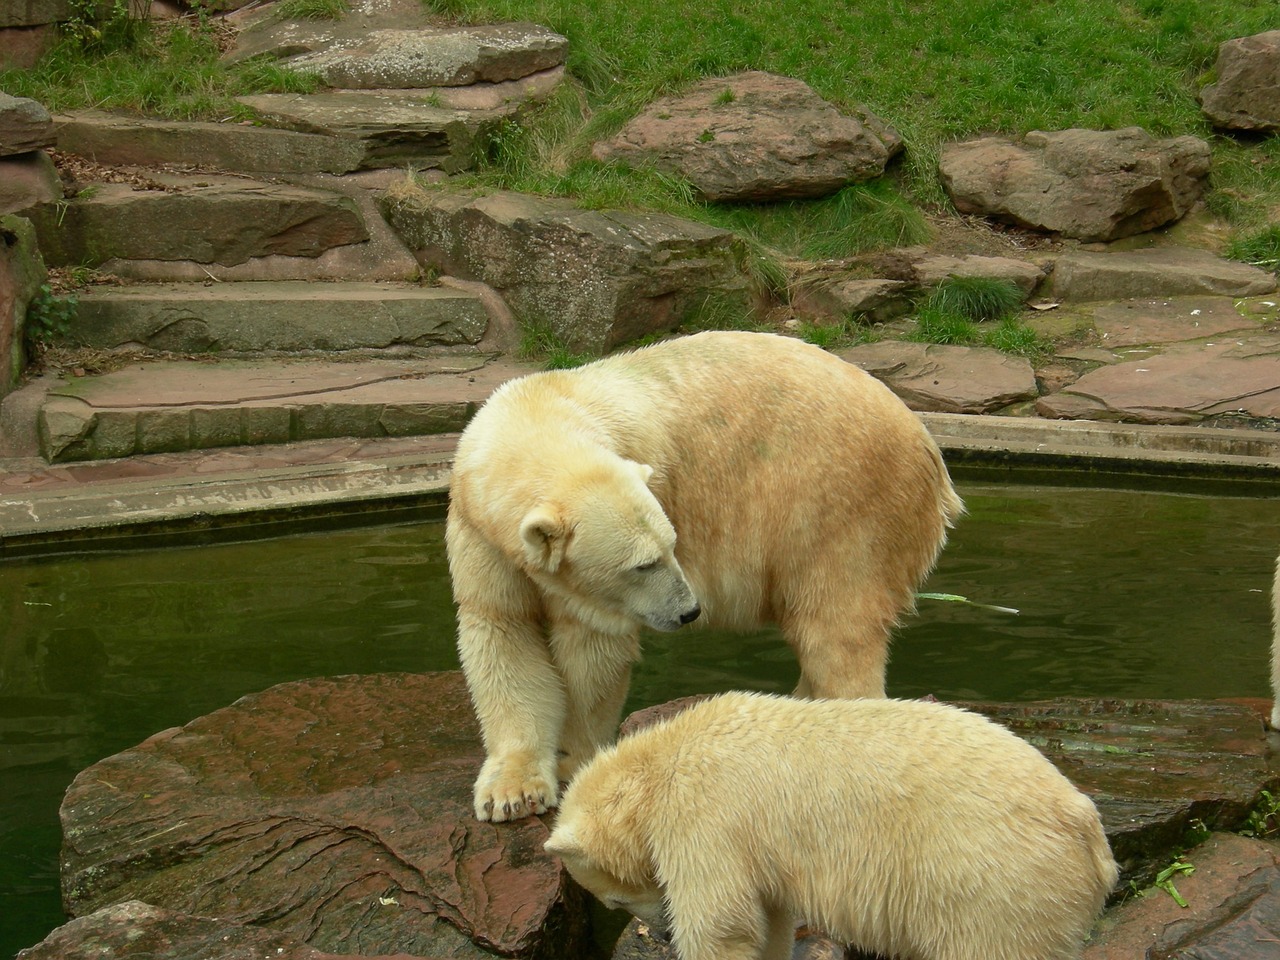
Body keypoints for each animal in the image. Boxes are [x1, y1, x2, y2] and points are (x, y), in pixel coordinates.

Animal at [448, 330, 962, 819]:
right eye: (644, 563)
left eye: (671, 548)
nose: (690, 611)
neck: (538, 412)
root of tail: (928, 447)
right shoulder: (479, 532)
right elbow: (503, 632)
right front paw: (512, 793)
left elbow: (590, 654)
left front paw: (574, 760)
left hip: (838, 502)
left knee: (836, 626)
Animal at [545, 691, 1116, 960]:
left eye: (613, 900)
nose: (661, 932)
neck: (661, 759)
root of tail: (1088, 829)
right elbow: (766, 919)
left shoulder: (705, 817)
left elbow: (721, 924)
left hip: (993, 886)